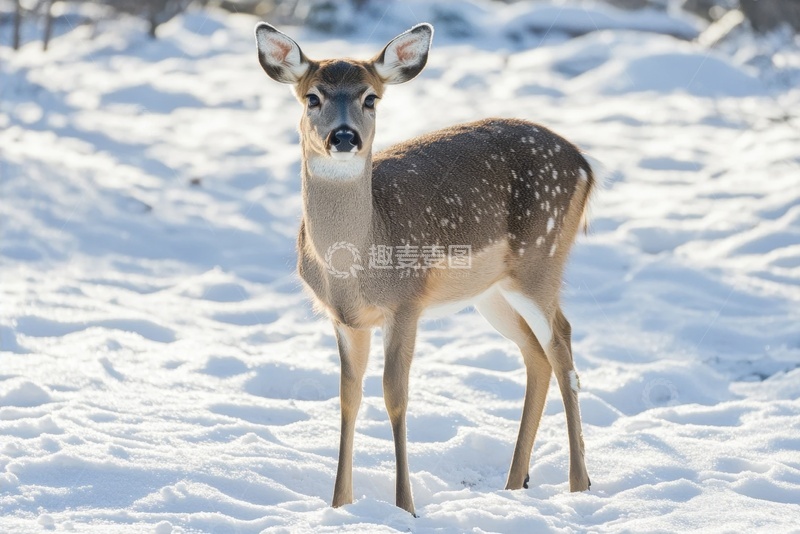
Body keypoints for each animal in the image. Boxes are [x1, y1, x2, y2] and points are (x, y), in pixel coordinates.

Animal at [254, 22, 594, 516]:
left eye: (370, 98)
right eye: (312, 97)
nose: (343, 137)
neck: (353, 267)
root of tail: (586, 164)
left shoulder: (406, 303)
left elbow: (395, 395)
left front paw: (405, 507)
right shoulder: (344, 319)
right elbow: (348, 397)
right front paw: (339, 505)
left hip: (541, 258)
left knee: (562, 342)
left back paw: (579, 484)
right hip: (491, 292)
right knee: (536, 354)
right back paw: (515, 484)